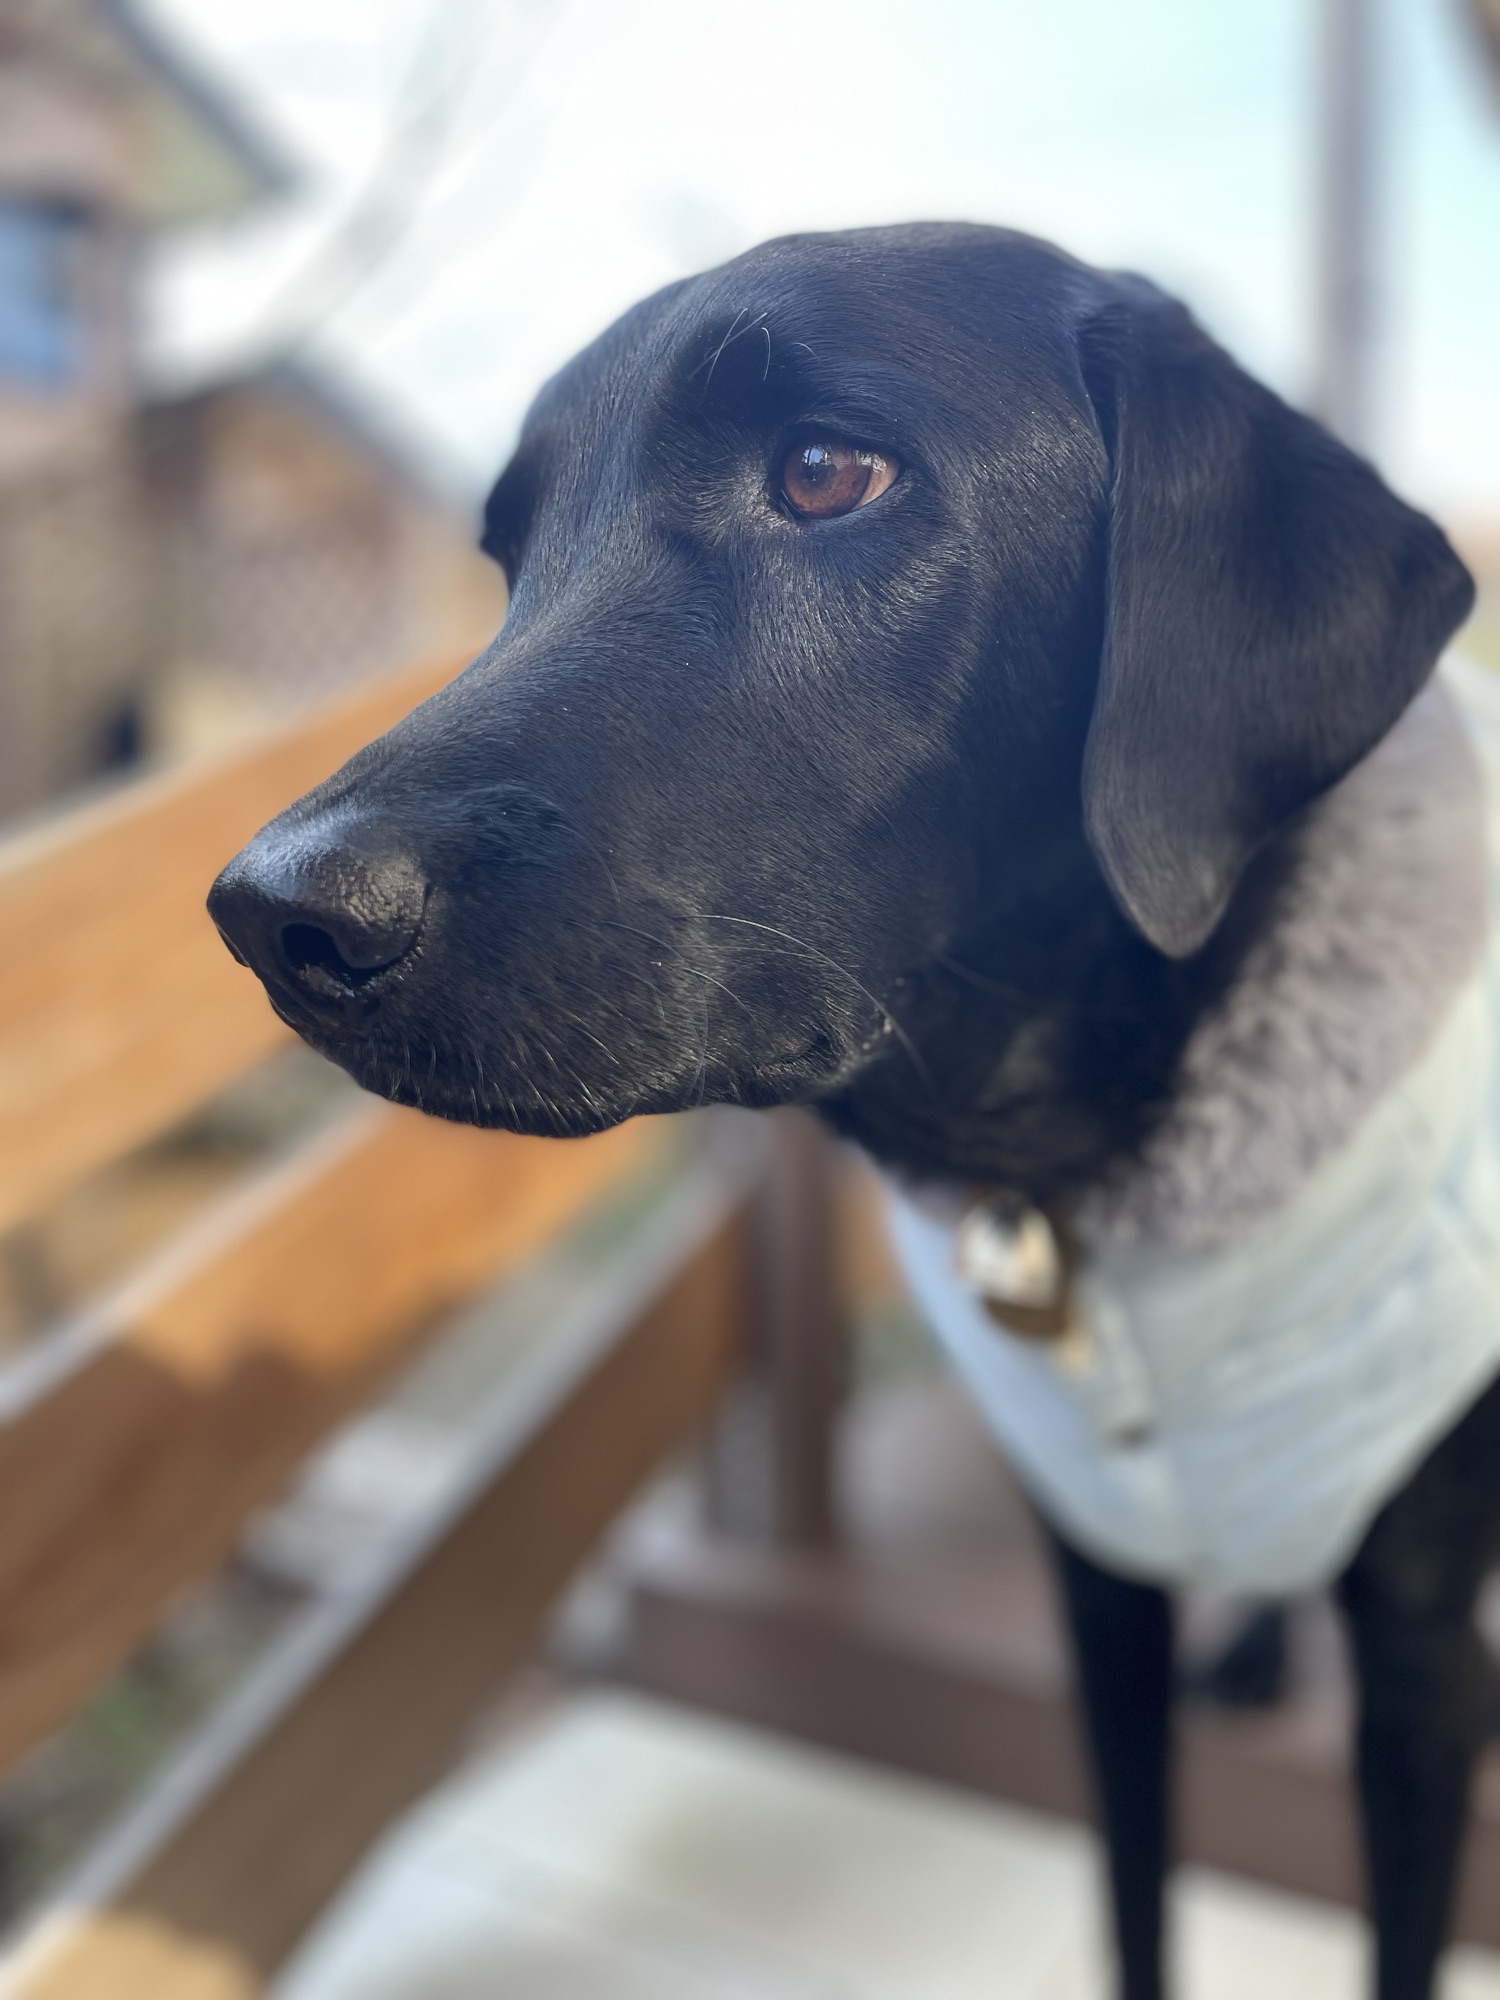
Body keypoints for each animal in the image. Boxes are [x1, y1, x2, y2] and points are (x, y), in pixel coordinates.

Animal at [207, 224, 1498, 2000]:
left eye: (827, 474)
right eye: (512, 554)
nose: (273, 919)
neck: (1086, 1175)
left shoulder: (1425, 1665)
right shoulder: (1098, 1581)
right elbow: (1136, 1901)